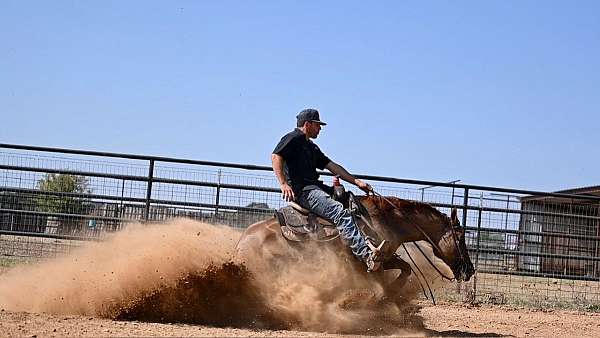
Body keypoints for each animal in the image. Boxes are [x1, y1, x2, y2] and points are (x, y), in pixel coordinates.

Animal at [234, 194, 474, 300]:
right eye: (461, 237)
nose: (470, 269)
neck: (385, 219)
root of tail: (242, 243)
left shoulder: (384, 258)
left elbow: (406, 268)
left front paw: (393, 291)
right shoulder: (367, 263)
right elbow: (383, 282)